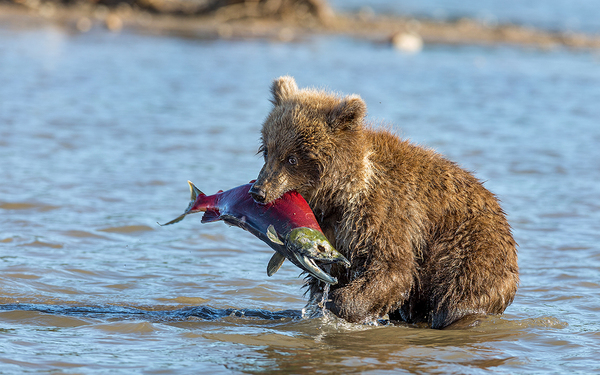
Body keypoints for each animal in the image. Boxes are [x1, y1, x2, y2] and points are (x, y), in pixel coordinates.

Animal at [251, 76, 516, 328]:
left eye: (292, 158)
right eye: (267, 150)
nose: (258, 191)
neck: (340, 193)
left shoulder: (384, 212)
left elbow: (392, 268)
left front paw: (339, 303)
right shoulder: (333, 229)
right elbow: (329, 273)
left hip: (467, 250)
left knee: (457, 298)